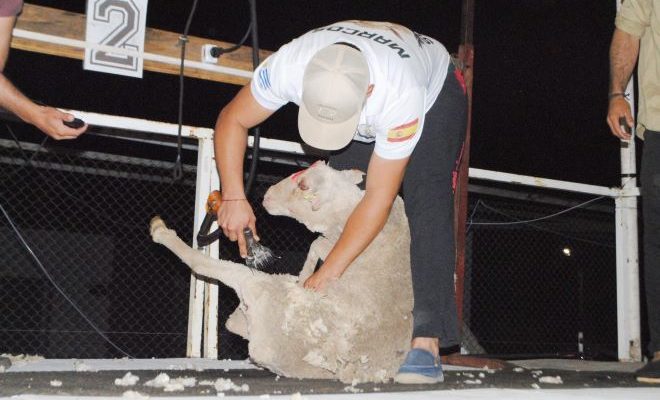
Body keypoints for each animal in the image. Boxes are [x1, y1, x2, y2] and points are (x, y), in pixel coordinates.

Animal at [150, 161, 412, 382]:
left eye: (303, 185)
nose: (267, 195)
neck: (345, 214)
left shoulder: (332, 245)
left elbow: (316, 245)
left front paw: (307, 274)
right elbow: (316, 244)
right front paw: (306, 273)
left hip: (258, 285)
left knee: (203, 265)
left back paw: (160, 231)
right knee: (233, 323)